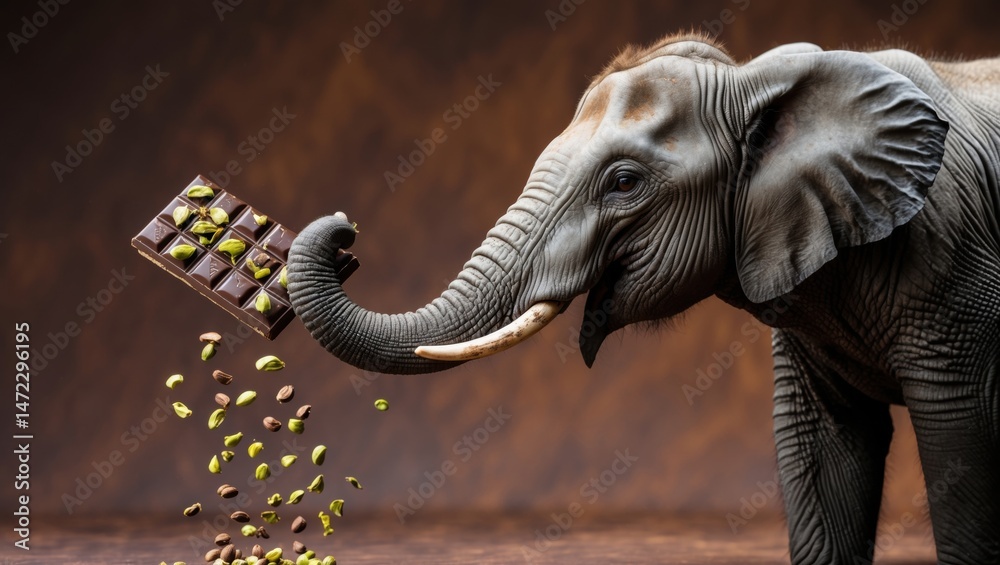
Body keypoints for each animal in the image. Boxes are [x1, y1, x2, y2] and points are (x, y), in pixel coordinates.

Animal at [286, 33, 1000, 564]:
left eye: (624, 183)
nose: (345, 232)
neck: (751, 81)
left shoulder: (953, 262)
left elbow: (960, 446)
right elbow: (823, 451)